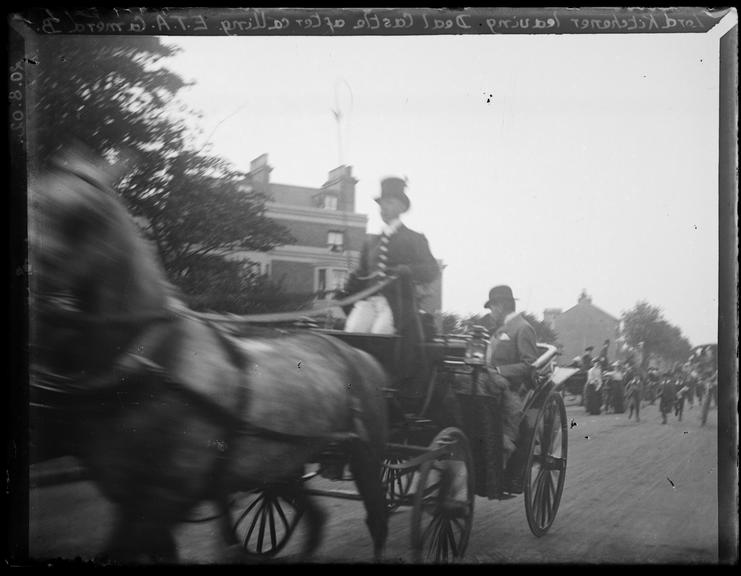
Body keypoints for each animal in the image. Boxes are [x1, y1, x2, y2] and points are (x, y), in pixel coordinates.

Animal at [28, 151, 388, 564]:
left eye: (85, 216)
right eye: (34, 201)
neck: (157, 360)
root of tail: (358, 351)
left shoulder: (164, 496)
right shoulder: (134, 498)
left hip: (366, 454)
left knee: (377, 516)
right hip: (282, 463)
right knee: (315, 516)